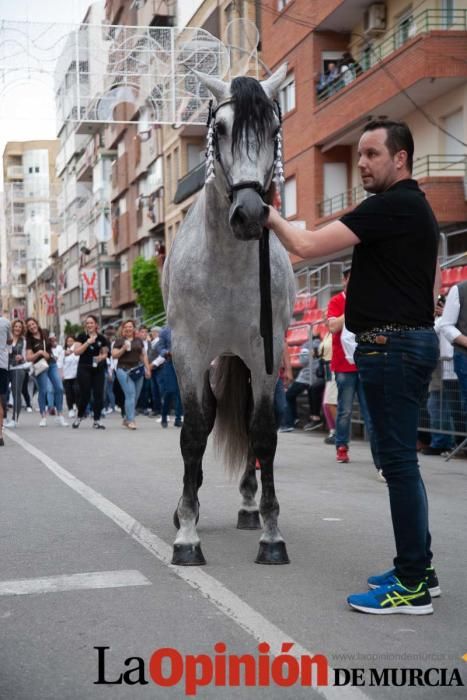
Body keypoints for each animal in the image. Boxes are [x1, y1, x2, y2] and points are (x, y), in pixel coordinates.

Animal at [165, 65, 294, 568]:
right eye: (220, 128)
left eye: (274, 129)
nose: (251, 214)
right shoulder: (188, 352)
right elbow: (193, 432)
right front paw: (187, 534)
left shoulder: (265, 350)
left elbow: (263, 431)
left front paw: (272, 534)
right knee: (208, 415)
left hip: (240, 356)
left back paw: (248, 506)